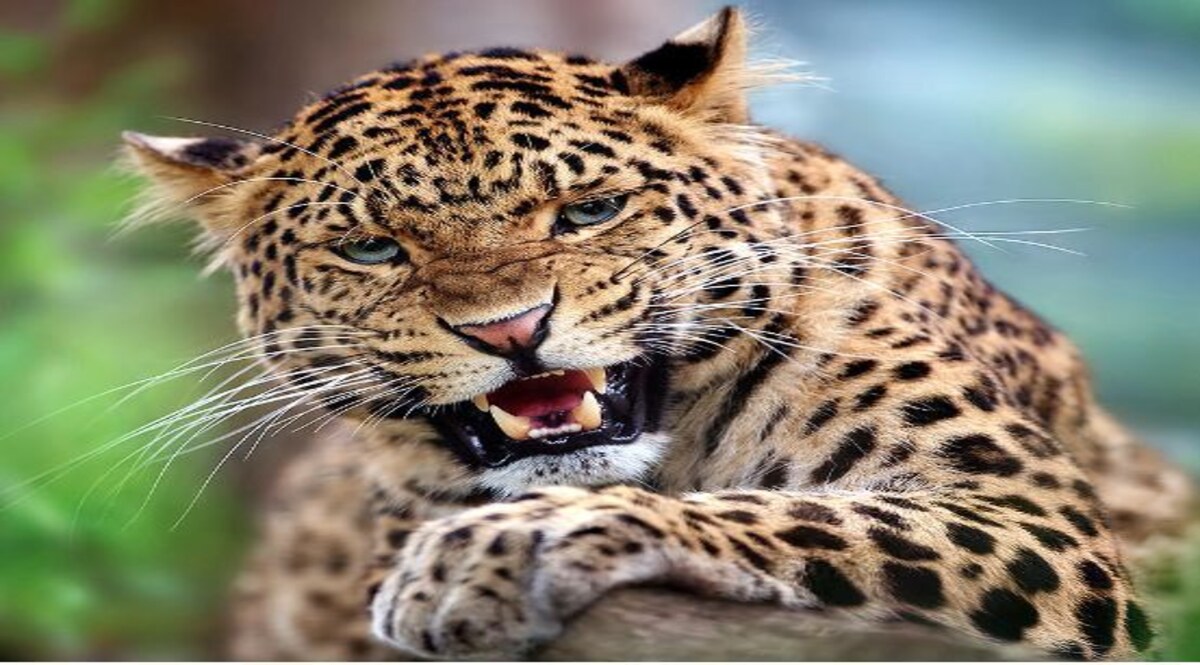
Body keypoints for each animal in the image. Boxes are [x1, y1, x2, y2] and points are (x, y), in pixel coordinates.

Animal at [122, 7, 1195, 661]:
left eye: (589, 210)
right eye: (372, 247)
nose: (511, 330)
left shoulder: (1034, 517)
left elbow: (801, 513)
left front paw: (502, 545)